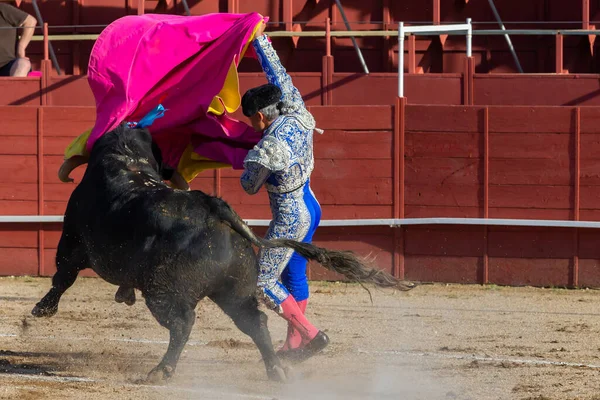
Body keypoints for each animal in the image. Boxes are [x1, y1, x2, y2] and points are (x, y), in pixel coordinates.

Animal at [30, 125, 414, 382]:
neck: (126, 159)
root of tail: (216, 208)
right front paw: (123, 295)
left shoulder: (72, 241)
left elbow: (62, 276)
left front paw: (41, 310)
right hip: (235, 290)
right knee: (255, 321)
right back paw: (277, 369)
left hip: (164, 291)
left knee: (182, 323)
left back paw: (161, 371)